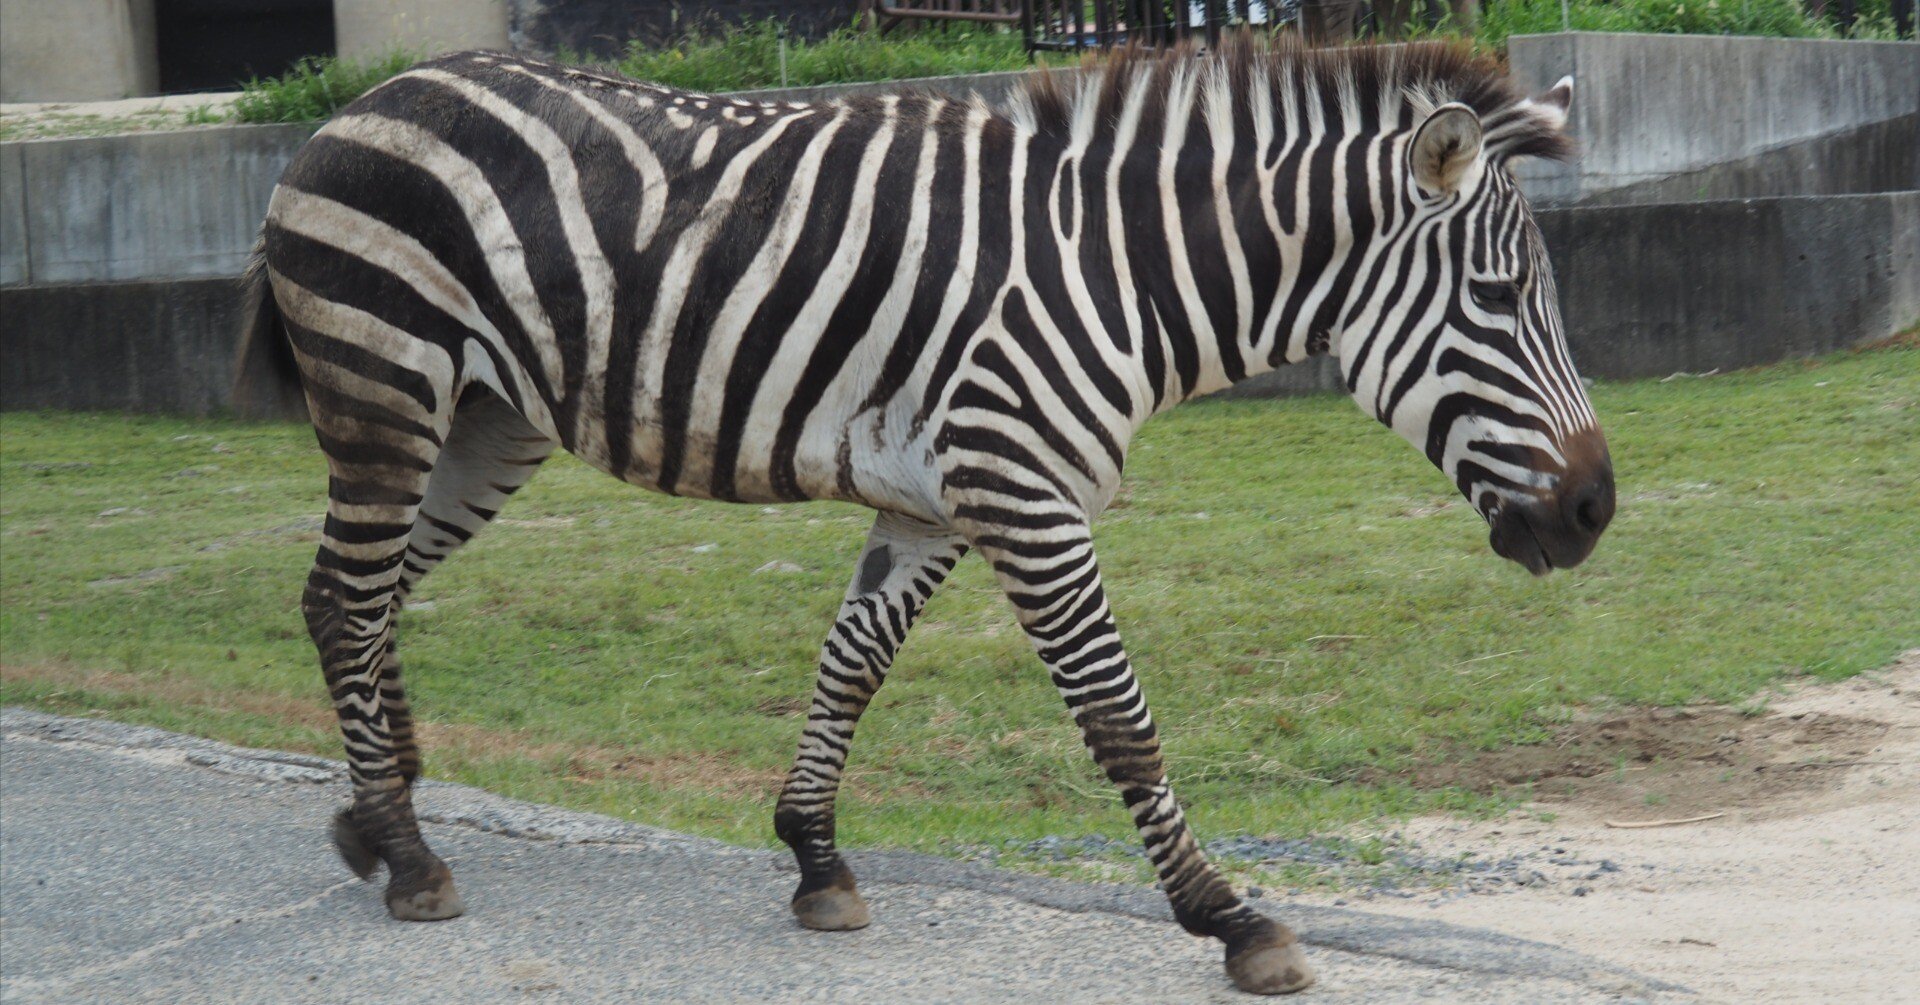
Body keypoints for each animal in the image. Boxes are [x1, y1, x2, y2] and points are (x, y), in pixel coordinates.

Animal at [235, 36, 1614, 995]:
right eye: (1500, 300)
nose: (1597, 510)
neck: (1120, 273)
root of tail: (366, 99)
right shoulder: (1026, 494)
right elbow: (1120, 719)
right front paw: (1229, 918)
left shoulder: (937, 502)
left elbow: (851, 665)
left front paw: (815, 861)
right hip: (385, 384)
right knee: (347, 598)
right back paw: (410, 854)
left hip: (484, 420)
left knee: (356, 596)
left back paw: (375, 814)